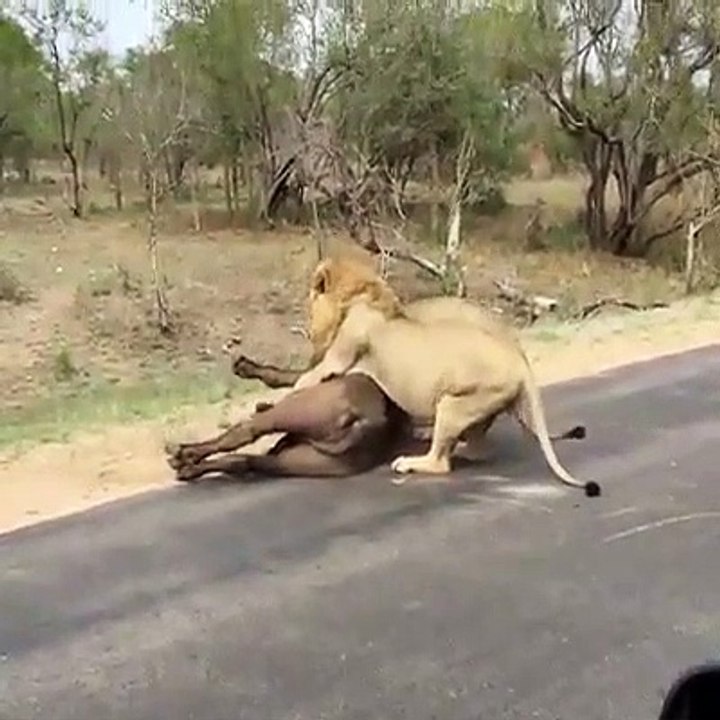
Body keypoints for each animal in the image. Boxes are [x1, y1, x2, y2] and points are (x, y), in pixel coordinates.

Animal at [291, 257, 601, 497]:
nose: (309, 327)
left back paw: (411, 461)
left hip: (452, 405)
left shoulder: (340, 355)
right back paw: (457, 446)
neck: (364, 293)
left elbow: (309, 378)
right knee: (477, 448)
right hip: (480, 404)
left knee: (441, 463)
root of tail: (520, 359)